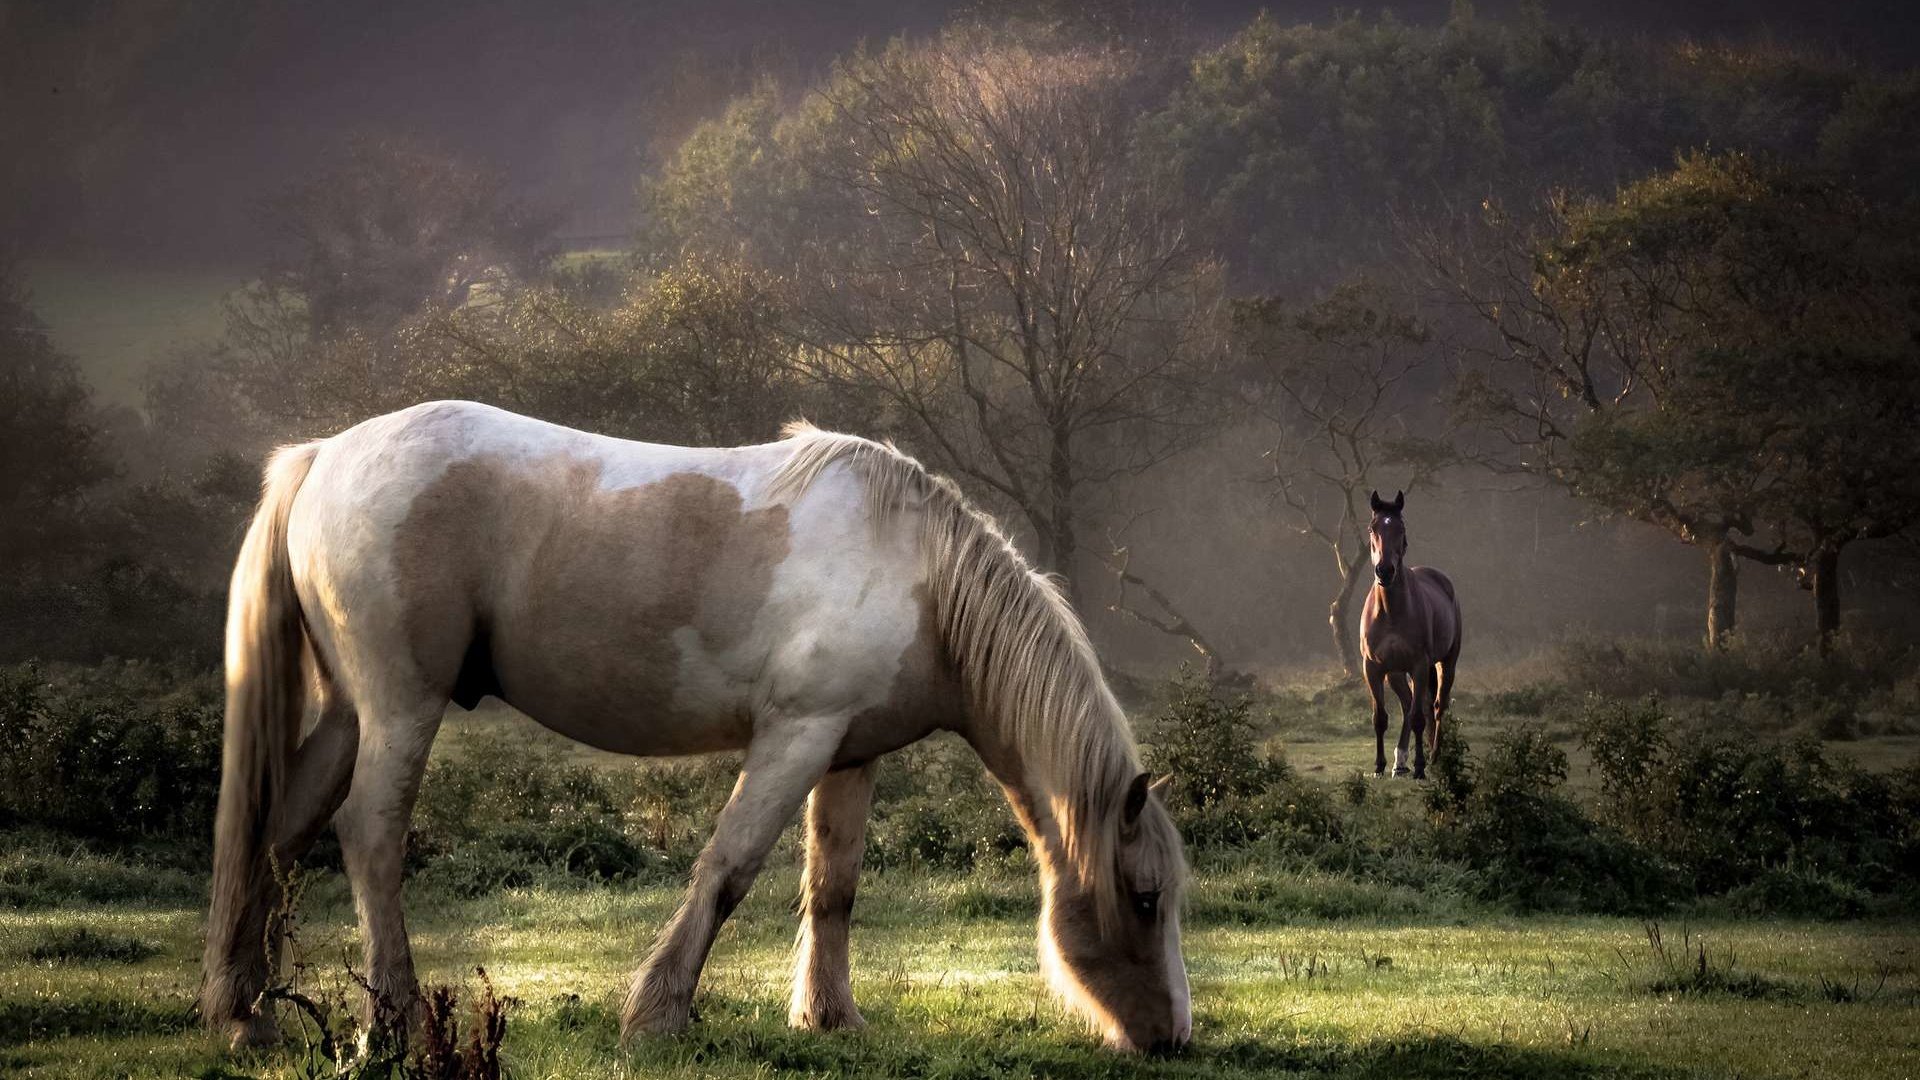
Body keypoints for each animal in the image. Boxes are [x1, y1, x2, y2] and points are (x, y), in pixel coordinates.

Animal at [194, 399, 1182, 1045]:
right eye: (1144, 898)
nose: (1172, 1038)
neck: (921, 579)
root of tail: (323, 456)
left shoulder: (847, 753)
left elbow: (833, 888)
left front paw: (831, 1019)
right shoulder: (794, 737)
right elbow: (728, 869)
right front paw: (658, 1017)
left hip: (349, 715)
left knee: (280, 835)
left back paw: (246, 1015)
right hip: (400, 706)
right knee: (369, 837)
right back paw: (391, 1025)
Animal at [1359, 491, 1459, 776]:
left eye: (1401, 528)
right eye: (1372, 528)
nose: (1384, 570)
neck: (1391, 612)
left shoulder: (1419, 665)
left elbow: (1418, 718)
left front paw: (1420, 768)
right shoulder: (1373, 668)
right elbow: (1380, 718)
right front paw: (1379, 766)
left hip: (1445, 664)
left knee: (1435, 707)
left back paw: (1434, 758)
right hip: (1395, 673)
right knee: (1407, 705)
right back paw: (1400, 762)